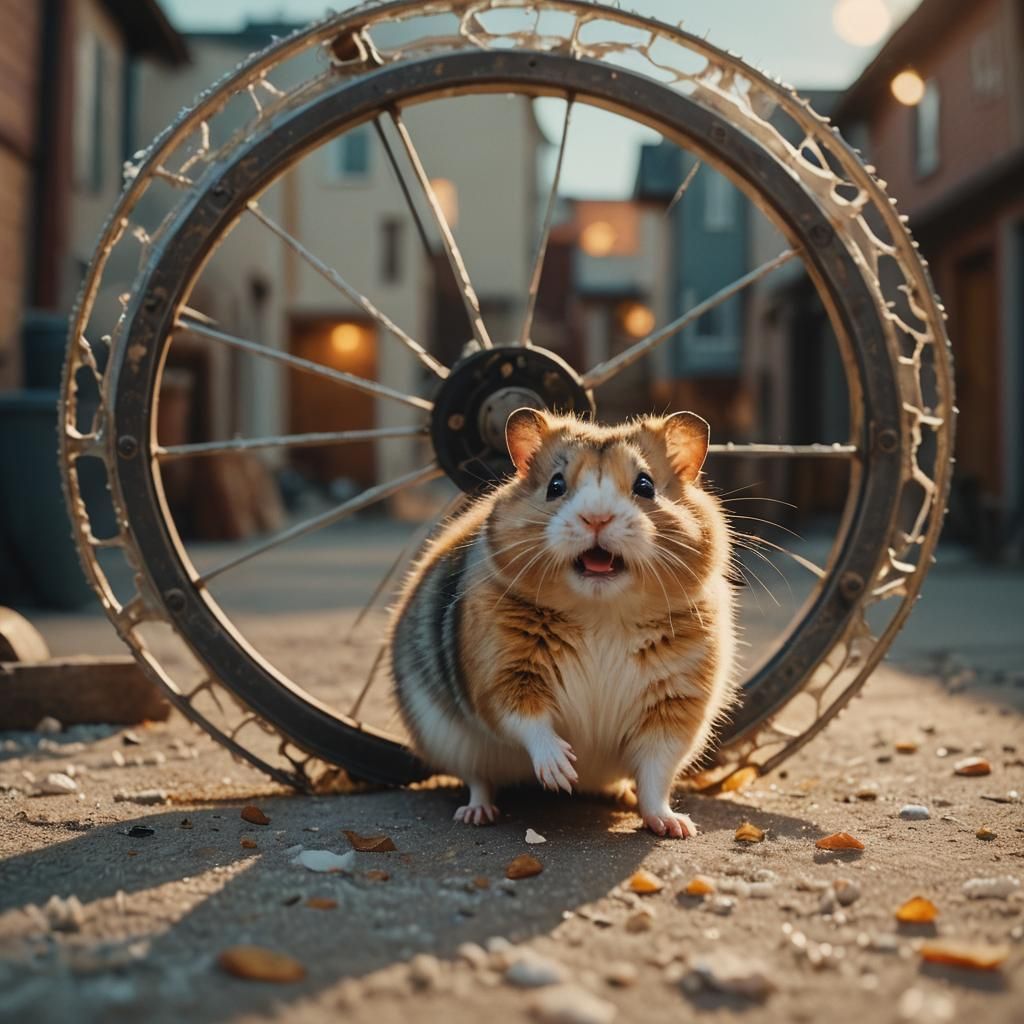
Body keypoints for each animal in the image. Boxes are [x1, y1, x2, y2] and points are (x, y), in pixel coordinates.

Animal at [390, 409, 736, 837]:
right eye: (555, 485)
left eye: (645, 485)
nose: (596, 518)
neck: (602, 612)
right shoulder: (502, 675)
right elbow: (528, 721)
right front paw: (560, 773)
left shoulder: (676, 706)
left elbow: (657, 772)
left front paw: (676, 826)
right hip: (454, 743)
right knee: (478, 779)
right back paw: (477, 813)